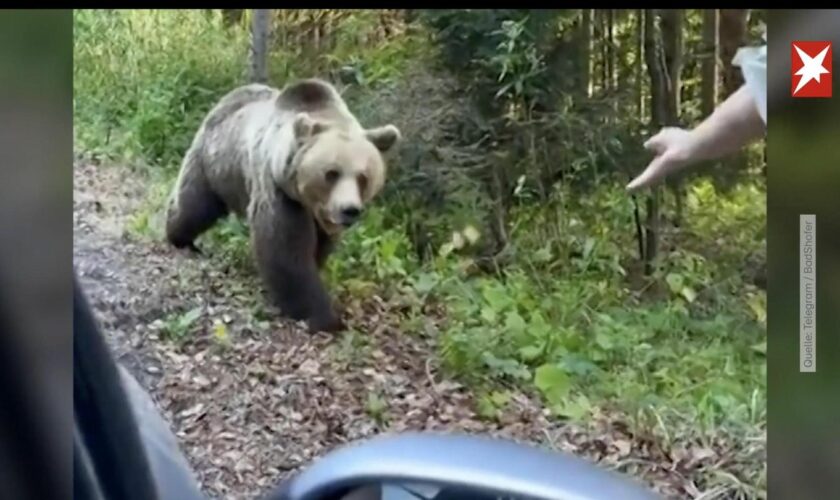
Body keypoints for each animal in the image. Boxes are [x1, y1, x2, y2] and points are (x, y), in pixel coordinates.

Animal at [166, 79, 402, 332]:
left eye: (363, 177)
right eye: (331, 173)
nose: (349, 210)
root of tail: (230, 96)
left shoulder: (320, 216)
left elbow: (319, 247)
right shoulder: (278, 190)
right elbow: (284, 251)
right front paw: (323, 315)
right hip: (215, 161)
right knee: (195, 202)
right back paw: (179, 237)